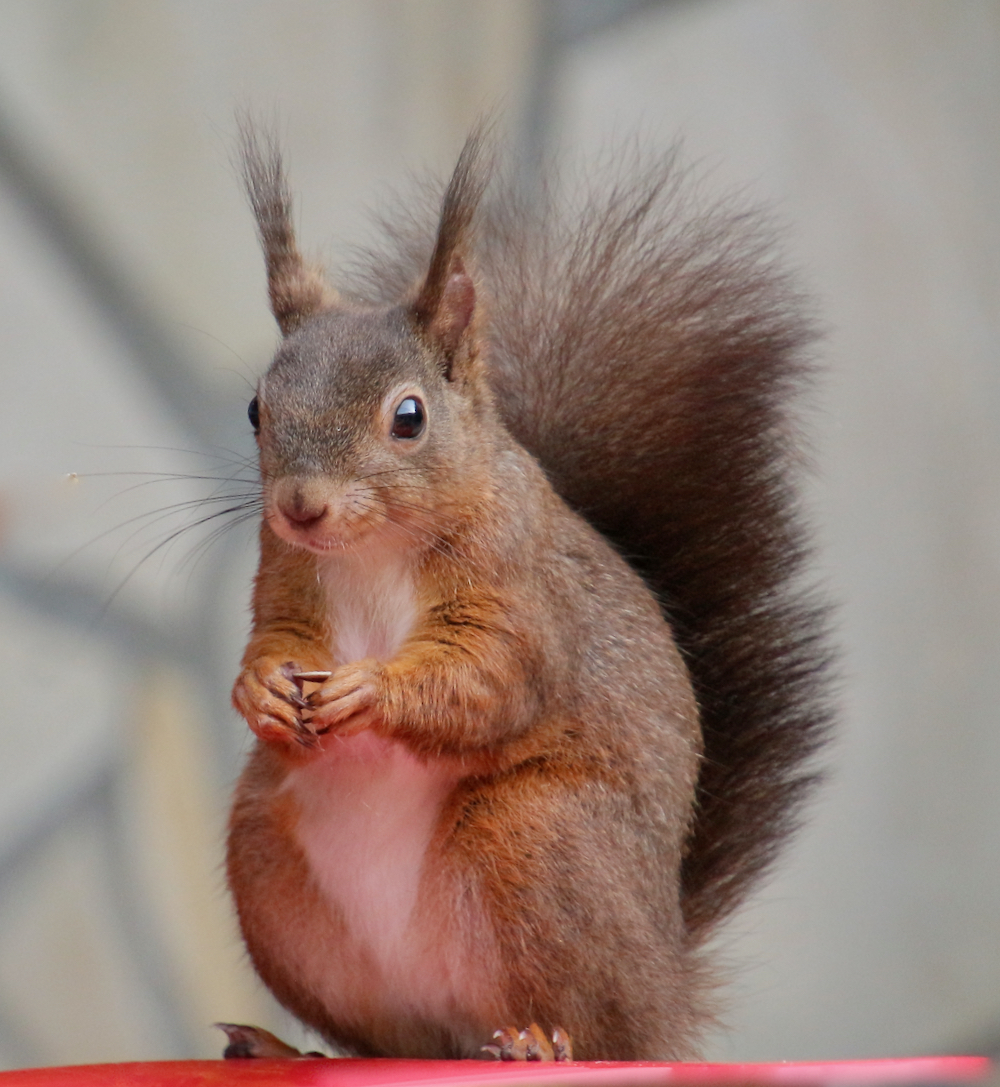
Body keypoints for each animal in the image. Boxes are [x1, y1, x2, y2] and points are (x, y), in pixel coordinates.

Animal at [225, 126, 830, 1063]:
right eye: (257, 409)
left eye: (408, 416)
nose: (300, 506)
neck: (370, 552)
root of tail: (668, 984)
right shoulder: (286, 577)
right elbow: (275, 635)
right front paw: (259, 688)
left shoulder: (519, 590)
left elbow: (493, 674)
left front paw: (372, 689)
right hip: (271, 871)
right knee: (390, 1045)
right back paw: (290, 1048)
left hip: (534, 834)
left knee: (606, 1032)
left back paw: (543, 1044)